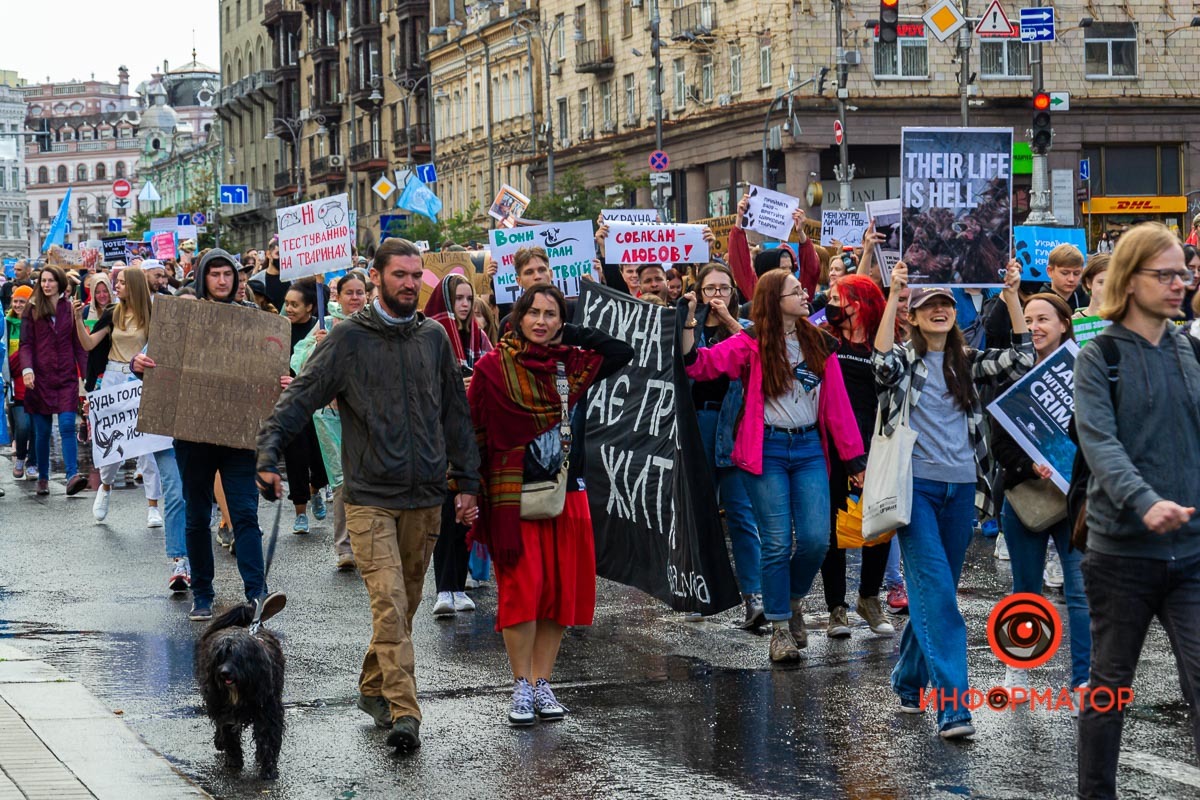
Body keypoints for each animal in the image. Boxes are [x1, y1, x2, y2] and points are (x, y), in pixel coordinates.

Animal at [199, 604, 290, 777]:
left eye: (238, 657)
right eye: (220, 657)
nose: (224, 673)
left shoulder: (269, 710)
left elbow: (268, 737)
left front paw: (268, 769)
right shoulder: (225, 711)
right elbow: (229, 734)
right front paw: (234, 761)